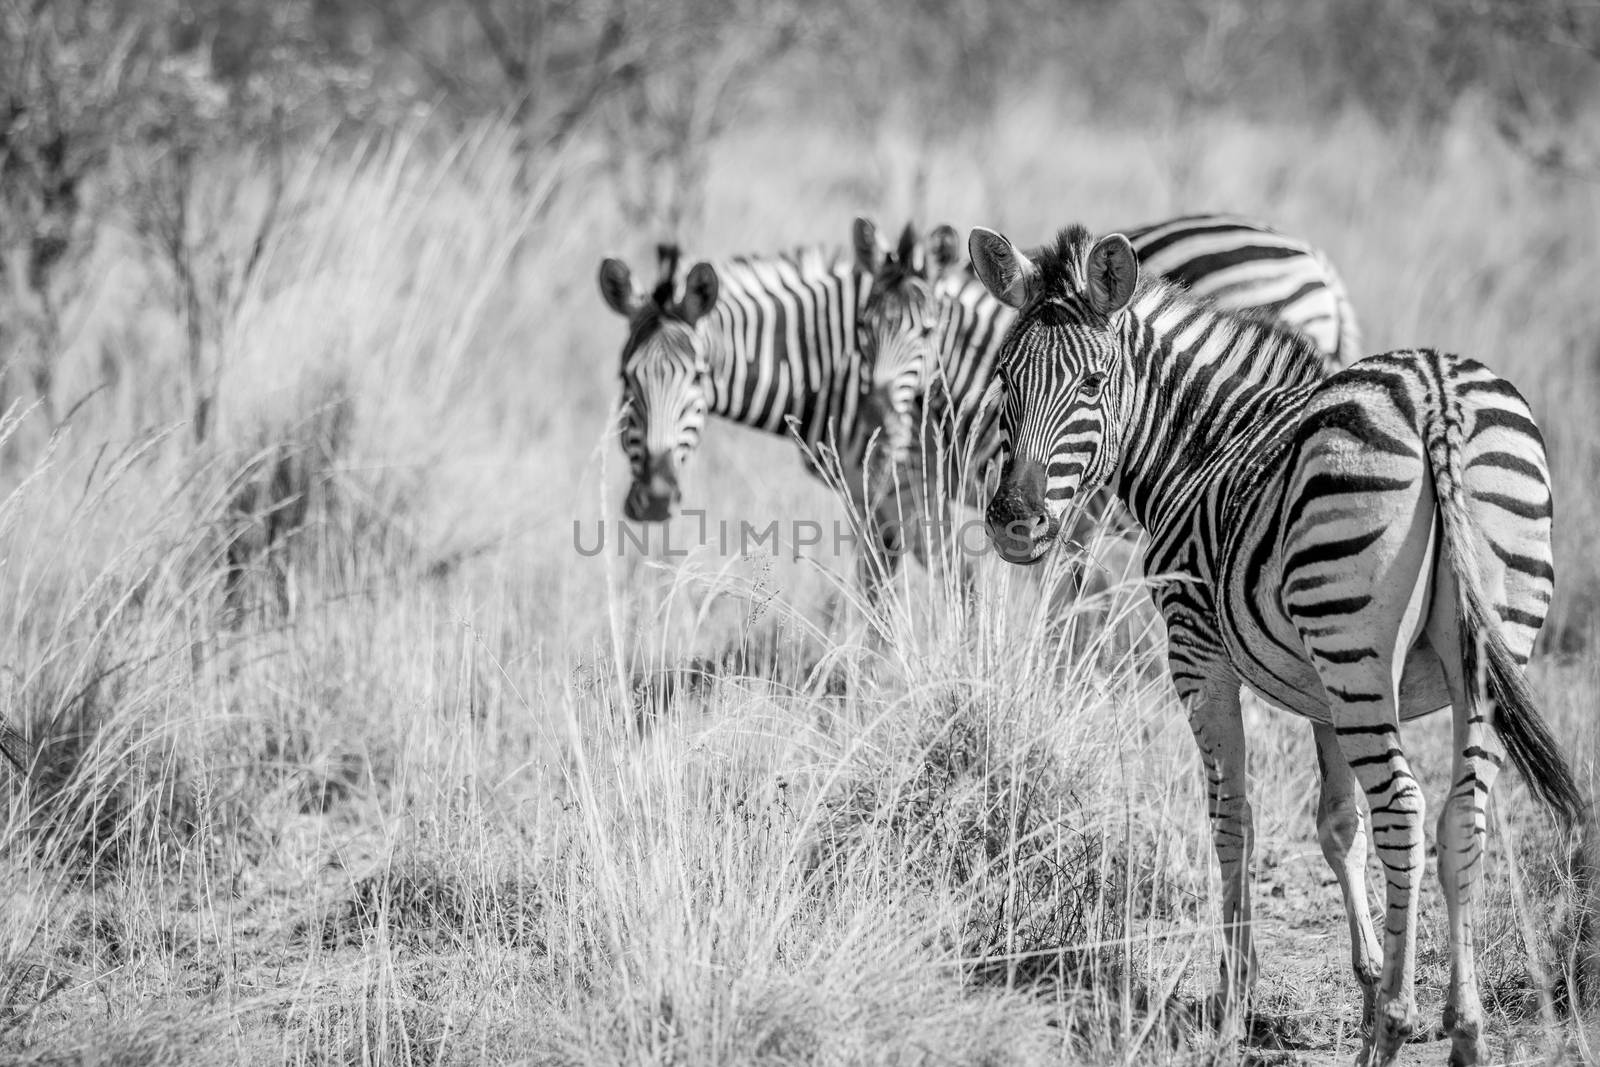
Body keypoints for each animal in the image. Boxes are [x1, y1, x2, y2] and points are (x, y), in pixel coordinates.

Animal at [966, 220, 1580, 1062]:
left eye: (1092, 384)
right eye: (1004, 379)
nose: (1014, 524)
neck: (1202, 442)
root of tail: (1435, 397)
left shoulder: (1197, 651)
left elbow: (1234, 817)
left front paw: (1235, 999)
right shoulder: (1323, 690)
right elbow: (1337, 823)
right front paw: (1366, 979)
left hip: (1354, 640)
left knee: (1406, 808)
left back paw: (1394, 1028)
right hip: (1476, 650)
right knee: (1461, 817)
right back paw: (1462, 1029)